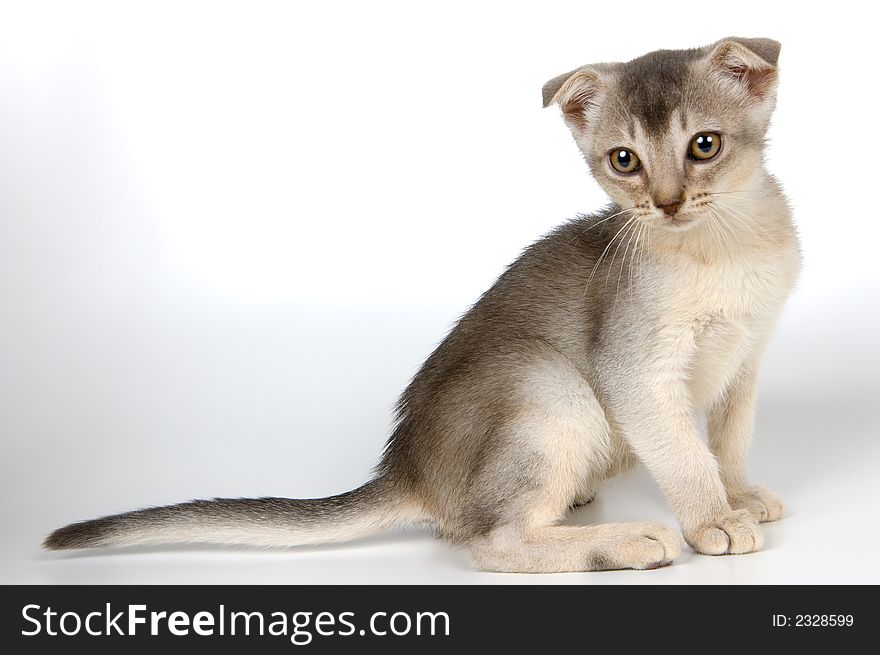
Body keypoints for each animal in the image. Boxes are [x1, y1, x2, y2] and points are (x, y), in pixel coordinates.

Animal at [44, 38, 800, 576]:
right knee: (492, 540)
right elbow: (684, 454)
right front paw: (712, 519)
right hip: (549, 384)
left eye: (704, 145)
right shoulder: (634, 370)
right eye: (623, 160)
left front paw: (740, 494)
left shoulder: (750, 356)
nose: (666, 203)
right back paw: (625, 540)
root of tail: (407, 468)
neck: (725, 250)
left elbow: (728, 440)